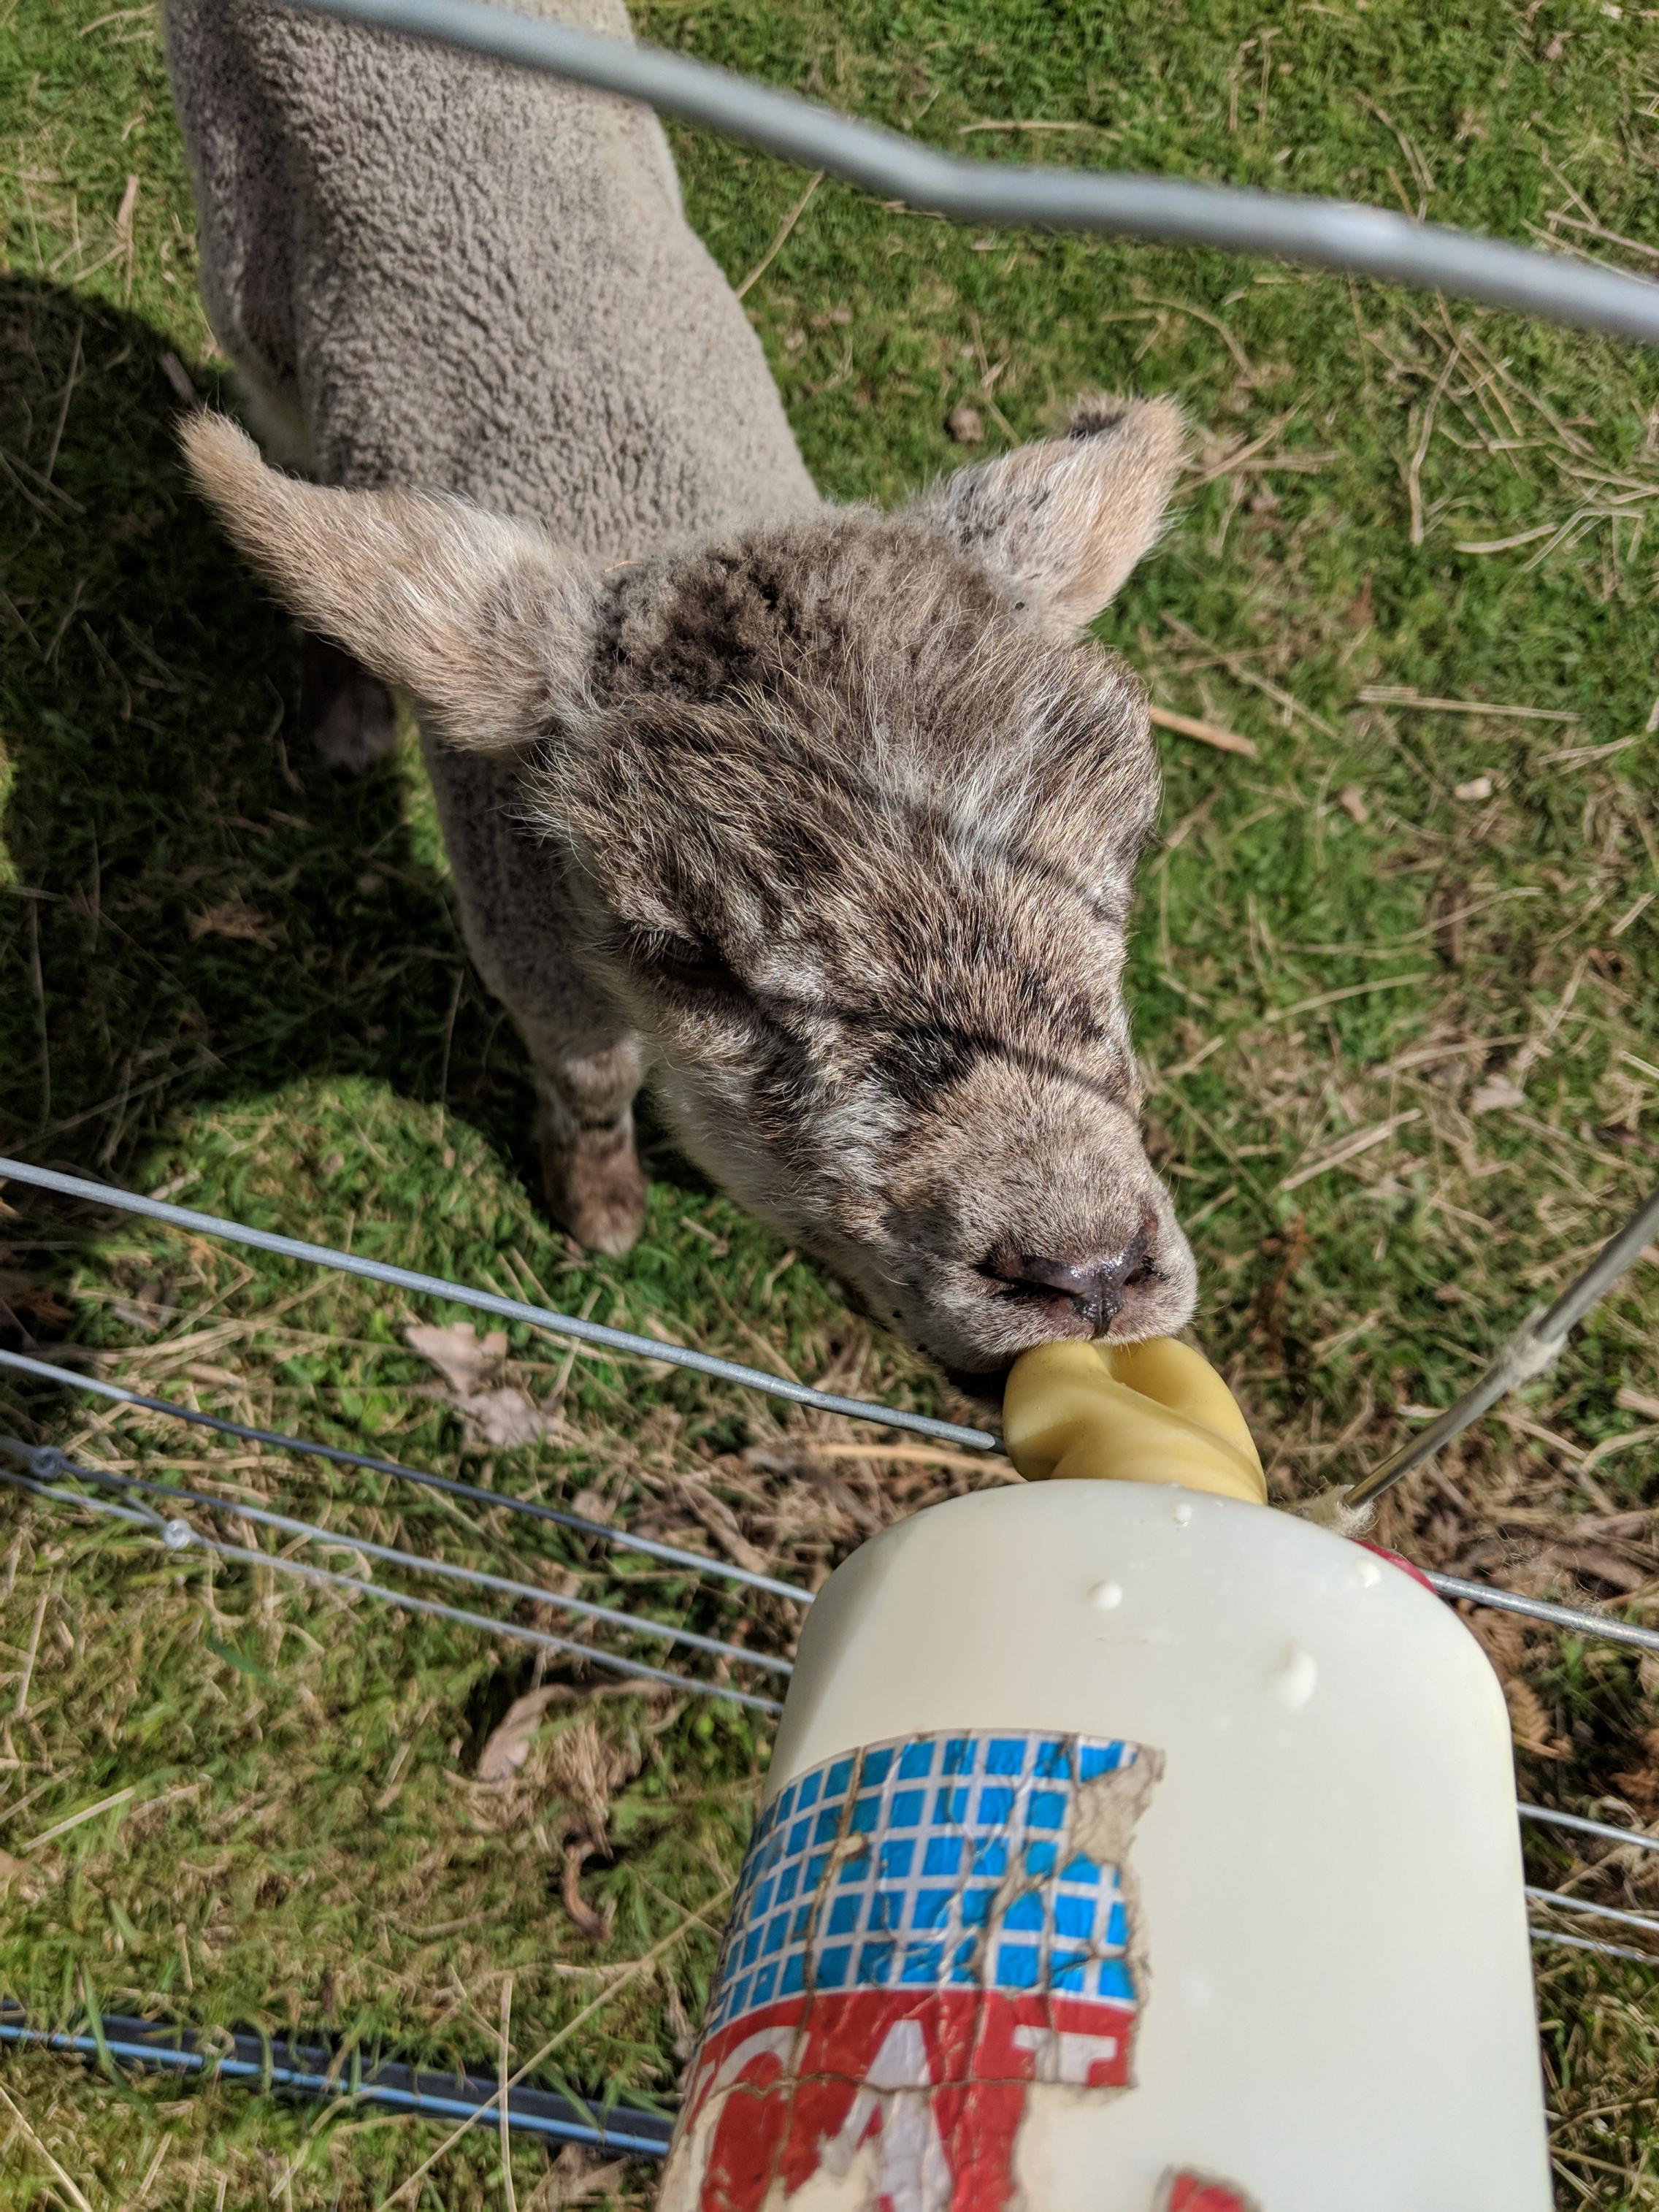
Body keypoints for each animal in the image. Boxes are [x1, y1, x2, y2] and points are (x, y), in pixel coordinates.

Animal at [166, 0, 1194, 1371]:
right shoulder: (528, 942)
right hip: (236, 235)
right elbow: (592, 1079)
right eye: (689, 959)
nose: (1084, 1269)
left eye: (1125, 852)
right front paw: (599, 1206)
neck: (665, 509)